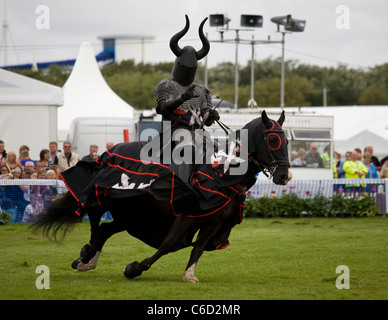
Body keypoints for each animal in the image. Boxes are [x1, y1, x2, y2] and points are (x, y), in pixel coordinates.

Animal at [32, 110, 292, 282]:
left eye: (287, 140)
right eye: (272, 139)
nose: (284, 176)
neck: (222, 173)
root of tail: (110, 150)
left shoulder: (213, 223)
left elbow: (197, 248)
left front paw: (189, 274)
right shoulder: (187, 214)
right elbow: (169, 243)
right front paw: (134, 268)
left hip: (135, 212)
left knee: (105, 229)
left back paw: (87, 258)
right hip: (109, 195)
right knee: (93, 213)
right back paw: (87, 254)